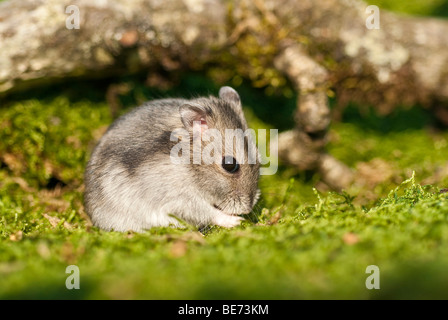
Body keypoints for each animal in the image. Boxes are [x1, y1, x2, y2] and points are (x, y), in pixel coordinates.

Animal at [84, 87, 260, 232]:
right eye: (229, 165)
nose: (248, 209)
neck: (191, 166)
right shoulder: (181, 199)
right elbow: (208, 212)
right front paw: (236, 221)